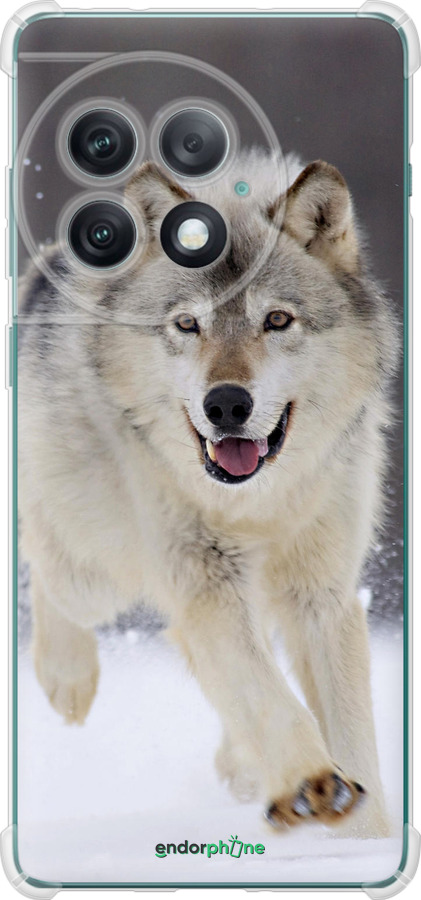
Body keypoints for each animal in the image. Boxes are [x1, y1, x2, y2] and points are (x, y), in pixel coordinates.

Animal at [18, 148, 397, 837]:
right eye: (188, 325)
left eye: (277, 320)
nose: (225, 404)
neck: (258, 503)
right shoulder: (205, 581)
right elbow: (268, 695)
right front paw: (312, 783)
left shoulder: (321, 594)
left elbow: (351, 733)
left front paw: (366, 838)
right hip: (97, 572)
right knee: (46, 565)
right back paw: (68, 679)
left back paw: (243, 767)